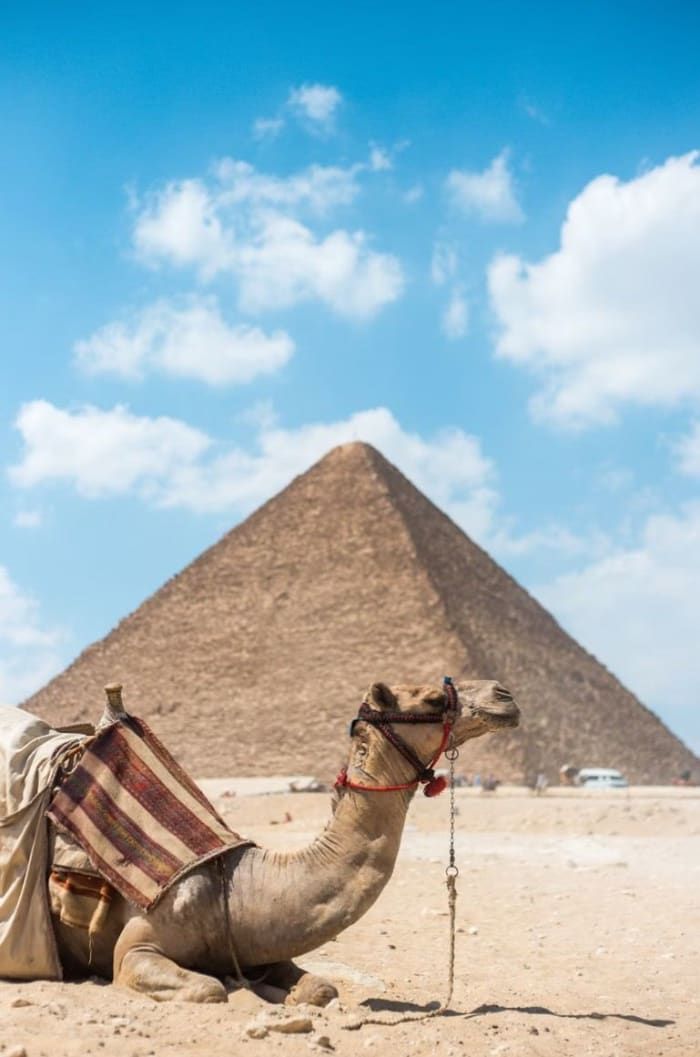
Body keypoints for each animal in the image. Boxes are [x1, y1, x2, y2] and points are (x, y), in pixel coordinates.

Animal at [49, 678, 519, 1005]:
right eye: (433, 700)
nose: (505, 695)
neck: (233, 888)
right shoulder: (137, 948)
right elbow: (209, 989)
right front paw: (237, 987)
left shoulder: (263, 945)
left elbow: (322, 989)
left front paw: (282, 994)